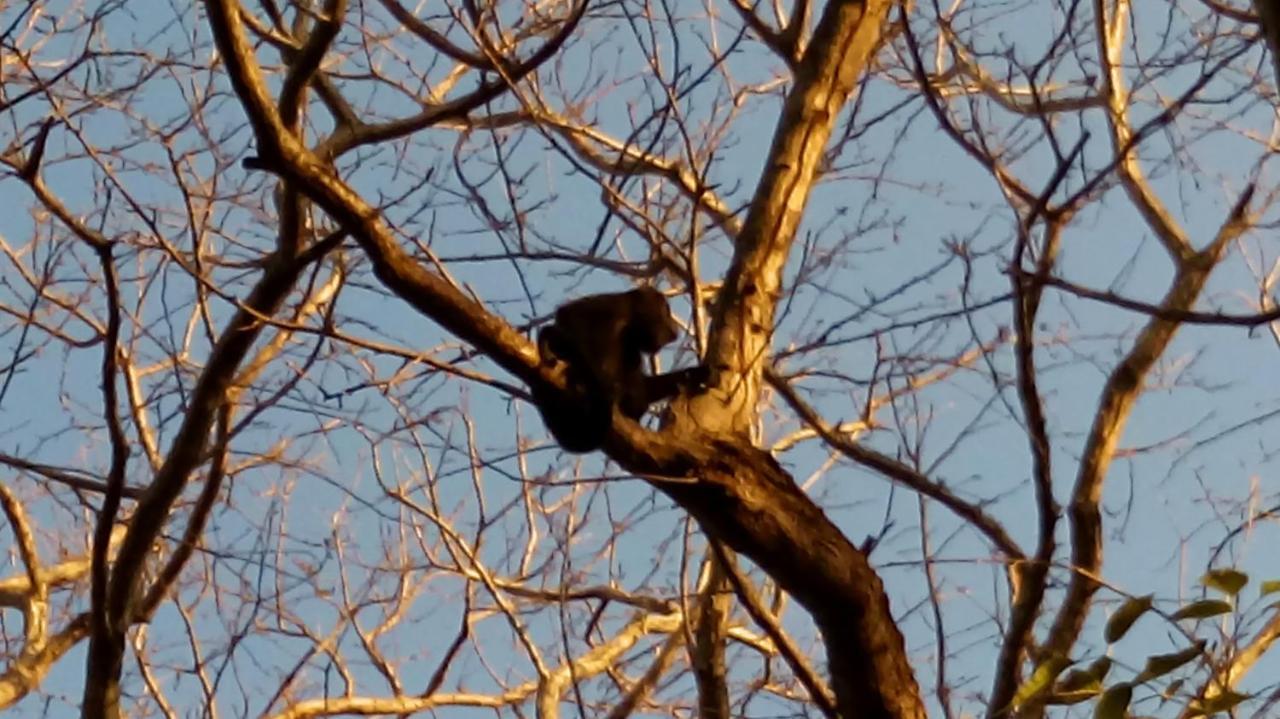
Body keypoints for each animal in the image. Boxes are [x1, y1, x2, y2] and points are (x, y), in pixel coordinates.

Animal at [529, 286, 711, 450]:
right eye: (666, 312)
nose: (674, 327)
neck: (629, 321)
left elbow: (641, 386)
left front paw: (694, 374)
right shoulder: (612, 304)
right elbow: (569, 314)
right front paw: (601, 384)